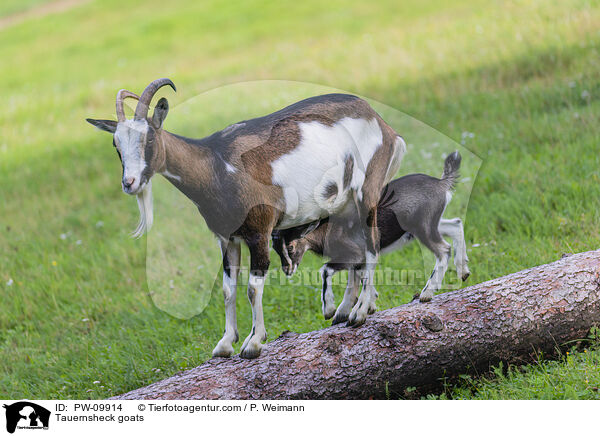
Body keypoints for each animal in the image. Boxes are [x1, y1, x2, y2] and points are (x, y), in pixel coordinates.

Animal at [86, 78, 406, 358]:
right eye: (116, 145)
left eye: (149, 138)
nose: (129, 183)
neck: (216, 166)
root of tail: (382, 124)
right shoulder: (226, 238)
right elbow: (228, 289)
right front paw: (225, 344)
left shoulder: (259, 231)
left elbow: (253, 288)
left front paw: (253, 343)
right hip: (342, 206)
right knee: (356, 253)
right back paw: (345, 310)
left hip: (367, 191)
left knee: (372, 247)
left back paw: (360, 311)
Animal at [272, 152, 468, 326]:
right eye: (274, 248)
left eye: (290, 246)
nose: (287, 271)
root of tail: (442, 184)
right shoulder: (360, 259)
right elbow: (357, 279)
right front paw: (359, 308)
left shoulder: (354, 254)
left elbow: (327, 270)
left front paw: (332, 311)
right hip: (428, 224)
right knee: (456, 225)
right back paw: (463, 271)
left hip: (423, 226)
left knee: (444, 249)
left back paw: (427, 292)